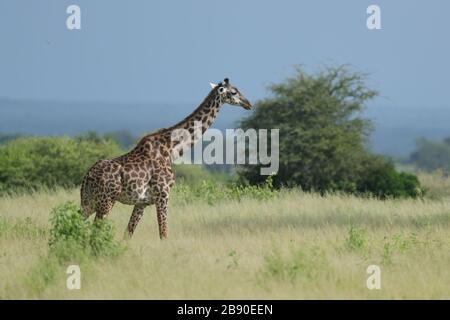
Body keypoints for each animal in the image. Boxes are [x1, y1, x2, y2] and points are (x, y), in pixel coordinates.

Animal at [81, 77, 253, 239]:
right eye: (233, 92)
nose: (248, 104)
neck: (171, 150)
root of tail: (88, 176)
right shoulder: (163, 195)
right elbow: (163, 234)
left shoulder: (142, 203)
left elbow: (127, 234)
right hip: (106, 201)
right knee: (95, 229)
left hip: (89, 201)